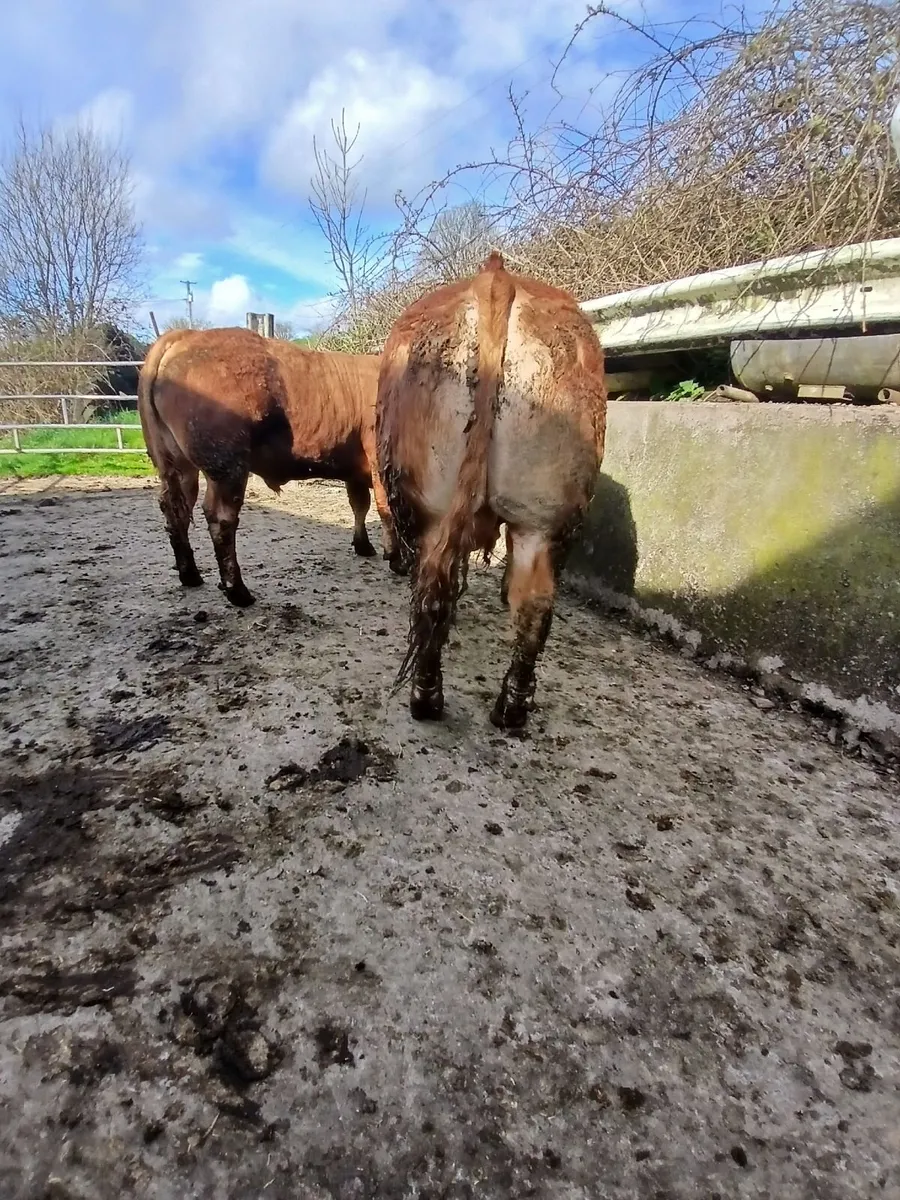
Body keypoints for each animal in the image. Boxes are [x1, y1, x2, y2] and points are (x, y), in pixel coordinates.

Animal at [138, 326, 397, 607]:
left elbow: (360, 505)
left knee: (176, 511)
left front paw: (364, 546)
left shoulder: (356, 471)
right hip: (227, 467)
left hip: (177, 466)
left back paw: (190, 575)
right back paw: (238, 592)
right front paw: (396, 558)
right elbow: (386, 509)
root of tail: (186, 334)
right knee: (221, 518)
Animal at [375, 251, 607, 730]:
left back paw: (426, 699)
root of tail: (496, 279)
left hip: (431, 507)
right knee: (534, 605)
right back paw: (511, 708)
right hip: (544, 516)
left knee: (432, 593)